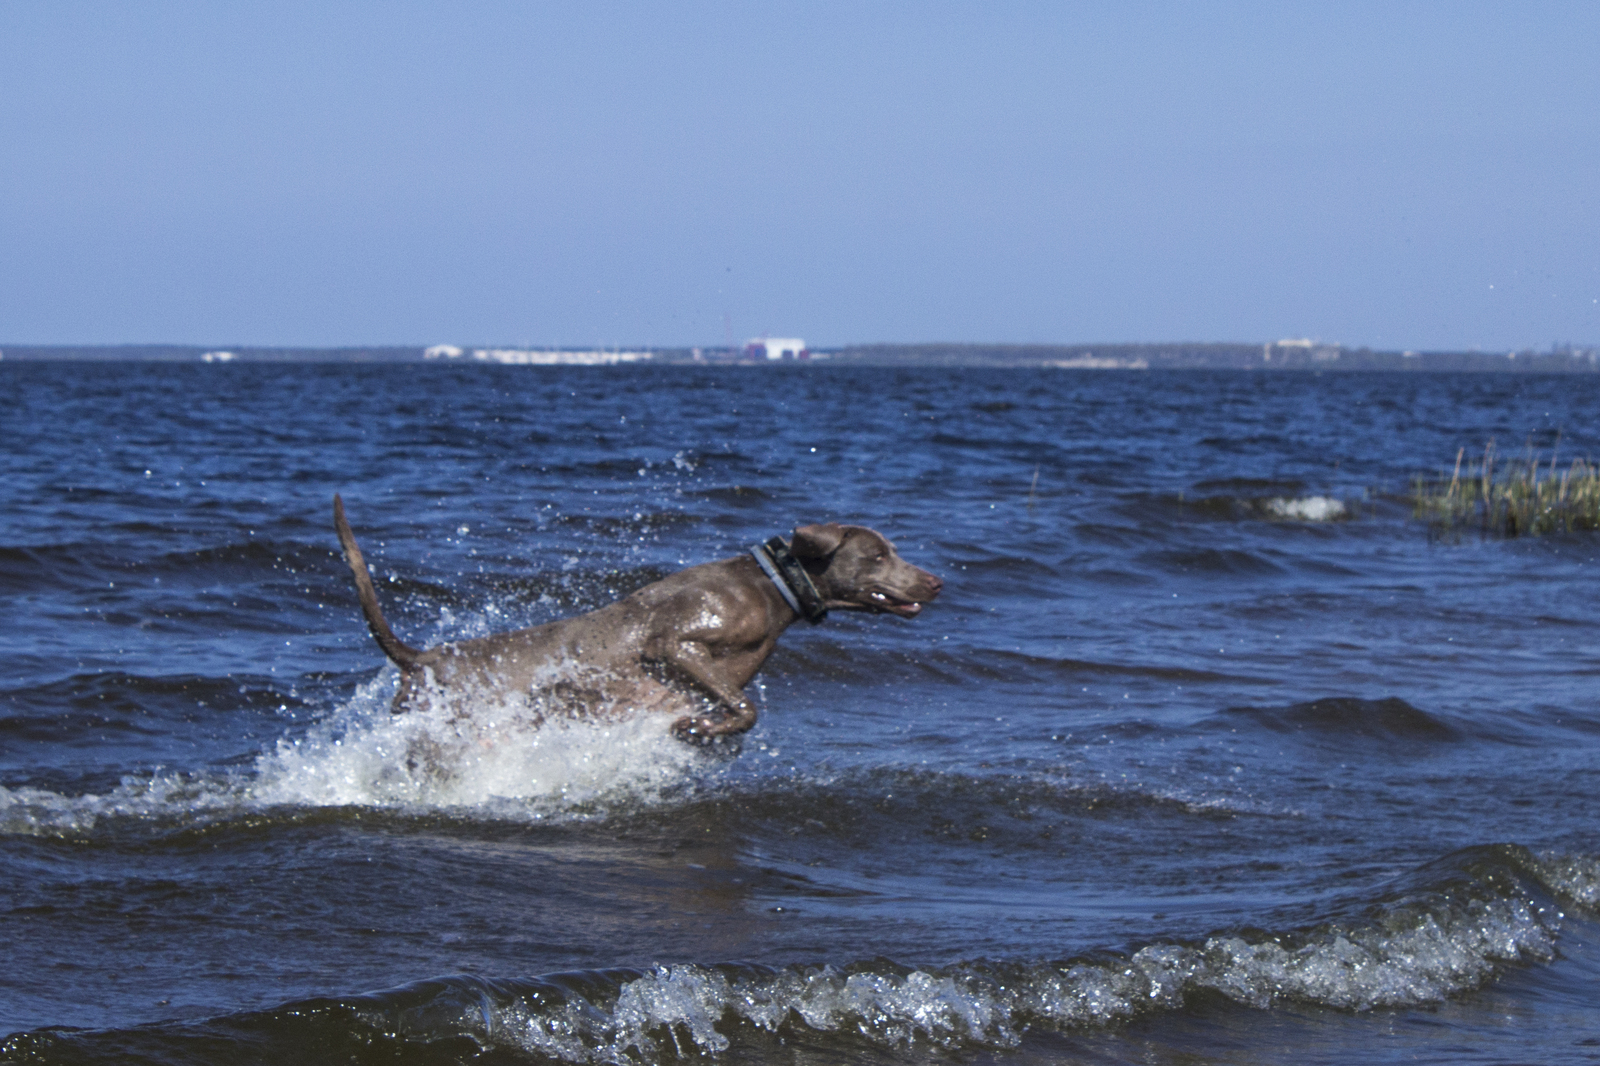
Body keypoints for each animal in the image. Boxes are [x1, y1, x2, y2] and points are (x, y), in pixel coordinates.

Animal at [332, 492, 940, 736]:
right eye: (878, 555)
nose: (936, 582)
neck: (772, 587)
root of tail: (422, 659)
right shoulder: (674, 643)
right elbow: (744, 708)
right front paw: (702, 728)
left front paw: (703, 730)